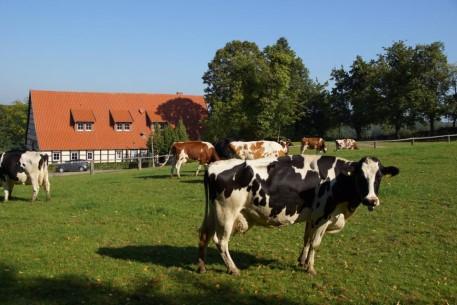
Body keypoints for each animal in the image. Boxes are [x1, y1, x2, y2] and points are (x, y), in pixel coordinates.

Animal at [198, 153, 398, 274]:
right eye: (361, 177)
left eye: (379, 176)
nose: (371, 200)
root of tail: (213, 165)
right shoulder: (323, 216)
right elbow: (315, 243)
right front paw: (310, 268)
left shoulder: (312, 217)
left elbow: (307, 239)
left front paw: (302, 261)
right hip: (227, 214)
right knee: (221, 241)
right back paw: (233, 269)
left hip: (214, 213)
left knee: (204, 235)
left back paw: (202, 266)